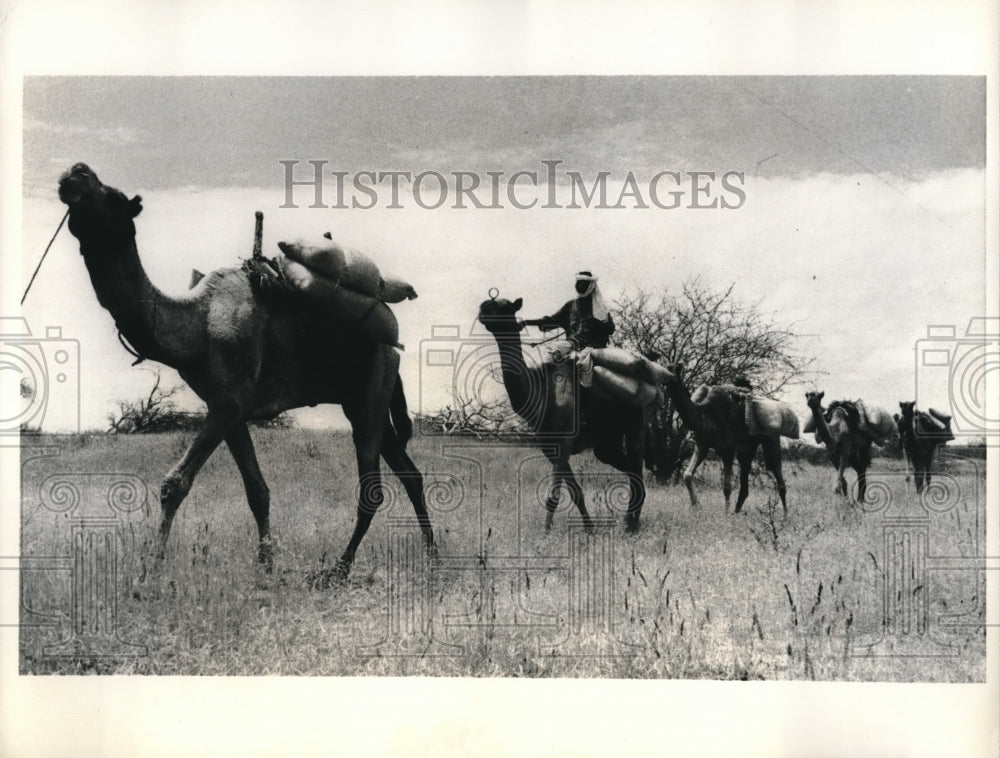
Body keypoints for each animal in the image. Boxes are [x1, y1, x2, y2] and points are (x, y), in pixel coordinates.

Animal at [57, 163, 434, 580]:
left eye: (113, 196)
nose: (77, 171)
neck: (197, 322)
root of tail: (393, 348)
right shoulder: (229, 408)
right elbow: (257, 490)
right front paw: (265, 565)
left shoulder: (228, 403)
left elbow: (175, 483)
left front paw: (149, 572)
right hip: (365, 399)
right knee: (410, 474)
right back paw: (433, 555)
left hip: (370, 393)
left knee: (373, 488)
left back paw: (338, 568)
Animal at [476, 298, 648, 536]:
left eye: (503, 306)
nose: (483, 309)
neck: (539, 389)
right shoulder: (551, 447)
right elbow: (575, 492)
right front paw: (589, 529)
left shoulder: (563, 442)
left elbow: (553, 496)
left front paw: (546, 533)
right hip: (606, 443)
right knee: (631, 469)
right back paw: (630, 522)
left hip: (634, 427)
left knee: (636, 469)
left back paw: (630, 524)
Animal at [660, 366, 792, 512]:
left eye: (674, 372)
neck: (704, 416)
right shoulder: (702, 444)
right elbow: (687, 475)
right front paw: (696, 506)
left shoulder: (728, 449)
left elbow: (727, 487)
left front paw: (725, 513)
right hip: (747, 448)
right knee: (745, 483)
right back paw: (736, 511)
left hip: (771, 439)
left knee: (777, 473)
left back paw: (785, 515)